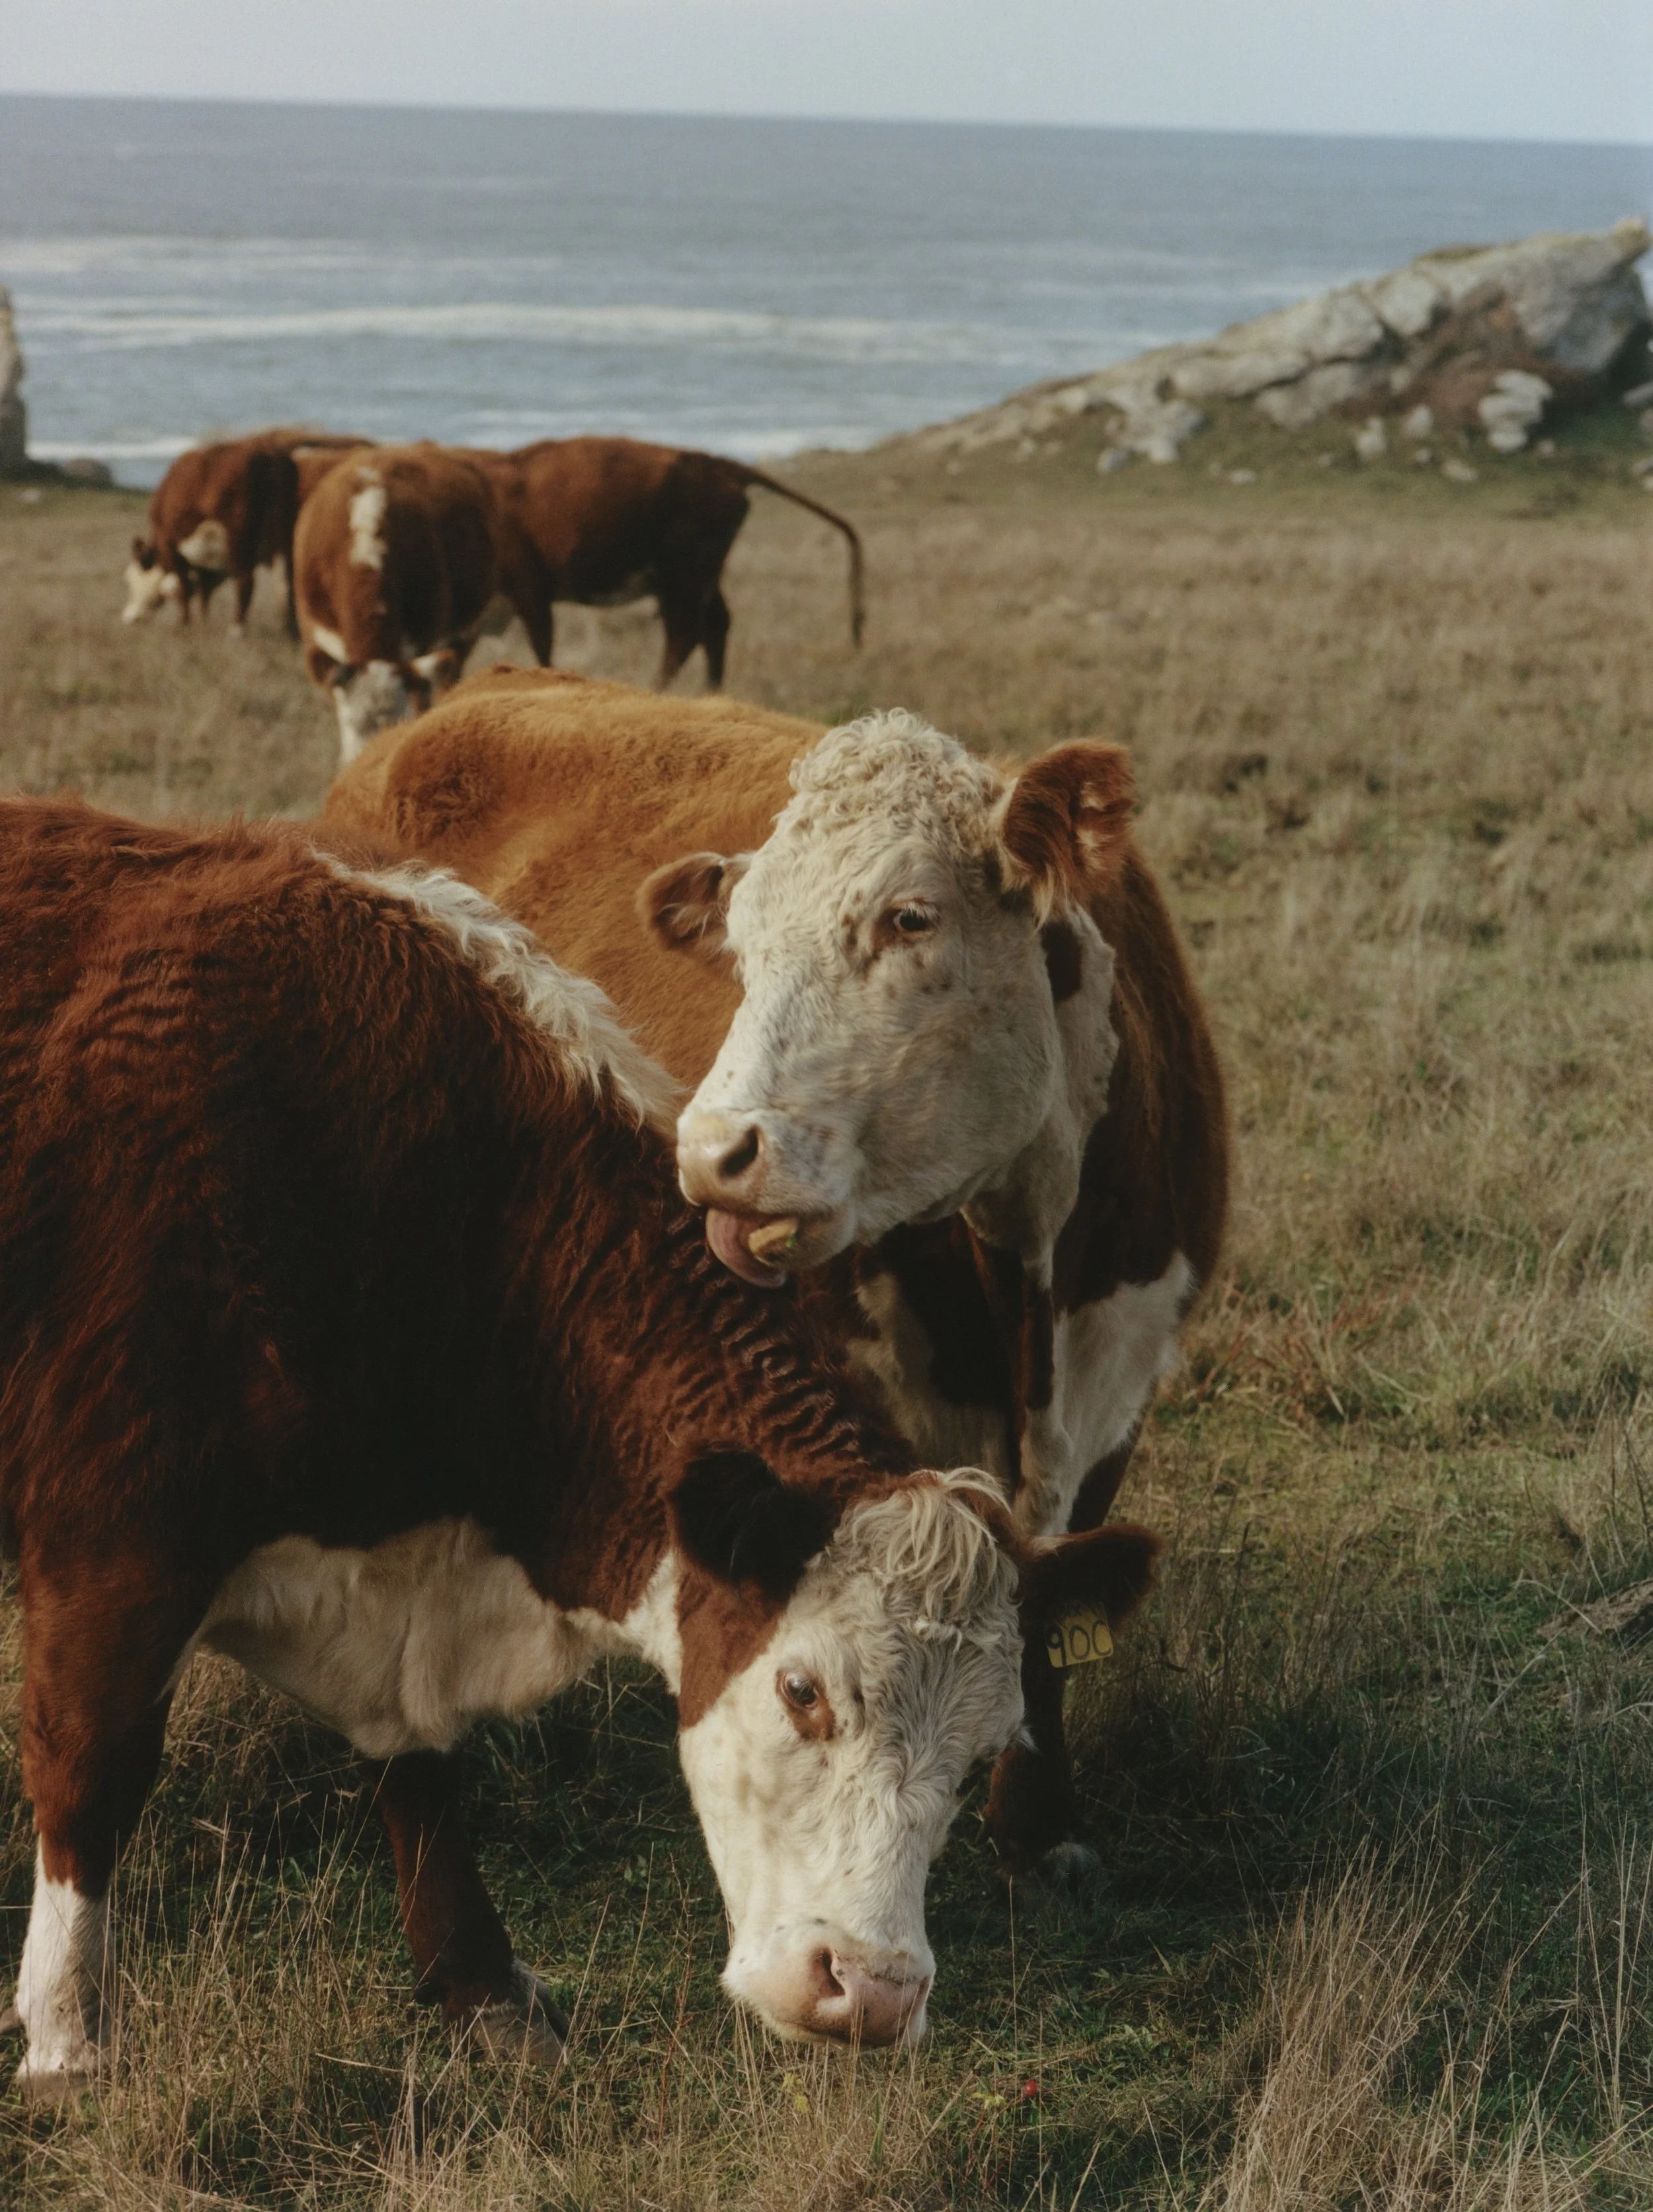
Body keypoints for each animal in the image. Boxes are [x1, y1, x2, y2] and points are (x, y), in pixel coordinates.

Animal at [0, 795, 1161, 2098]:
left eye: (981, 1754)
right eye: (802, 1690)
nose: (870, 1990)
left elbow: (421, 1770)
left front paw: (482, 1987)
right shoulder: (112, 1544)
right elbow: (90, 1770)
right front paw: (66, 2037)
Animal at [121, 429, 368, 638]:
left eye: (132, 580)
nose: (129, 617)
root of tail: (268, 453)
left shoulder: (171, 545)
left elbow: (185, 588)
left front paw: (185, 624)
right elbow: (203, 589)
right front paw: (203, 621)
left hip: (239, 539)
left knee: (246, 581)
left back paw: (237, 629)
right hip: (284, 540)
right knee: (287, 585)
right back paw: (290, 630)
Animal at [326, 671, 1228, 1888]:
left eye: (911, 918)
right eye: (741, 950)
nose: (713, 1152)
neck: (1027, 1279)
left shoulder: (1120, 1382)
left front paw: (1042, 1825)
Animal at [465, 438, 864, 688]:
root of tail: (718, 466)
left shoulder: (530, 593)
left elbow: (542, 647)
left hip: (682, 580)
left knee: (685, 635)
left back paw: (655, 690)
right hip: (700, 579)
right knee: (714, 626)